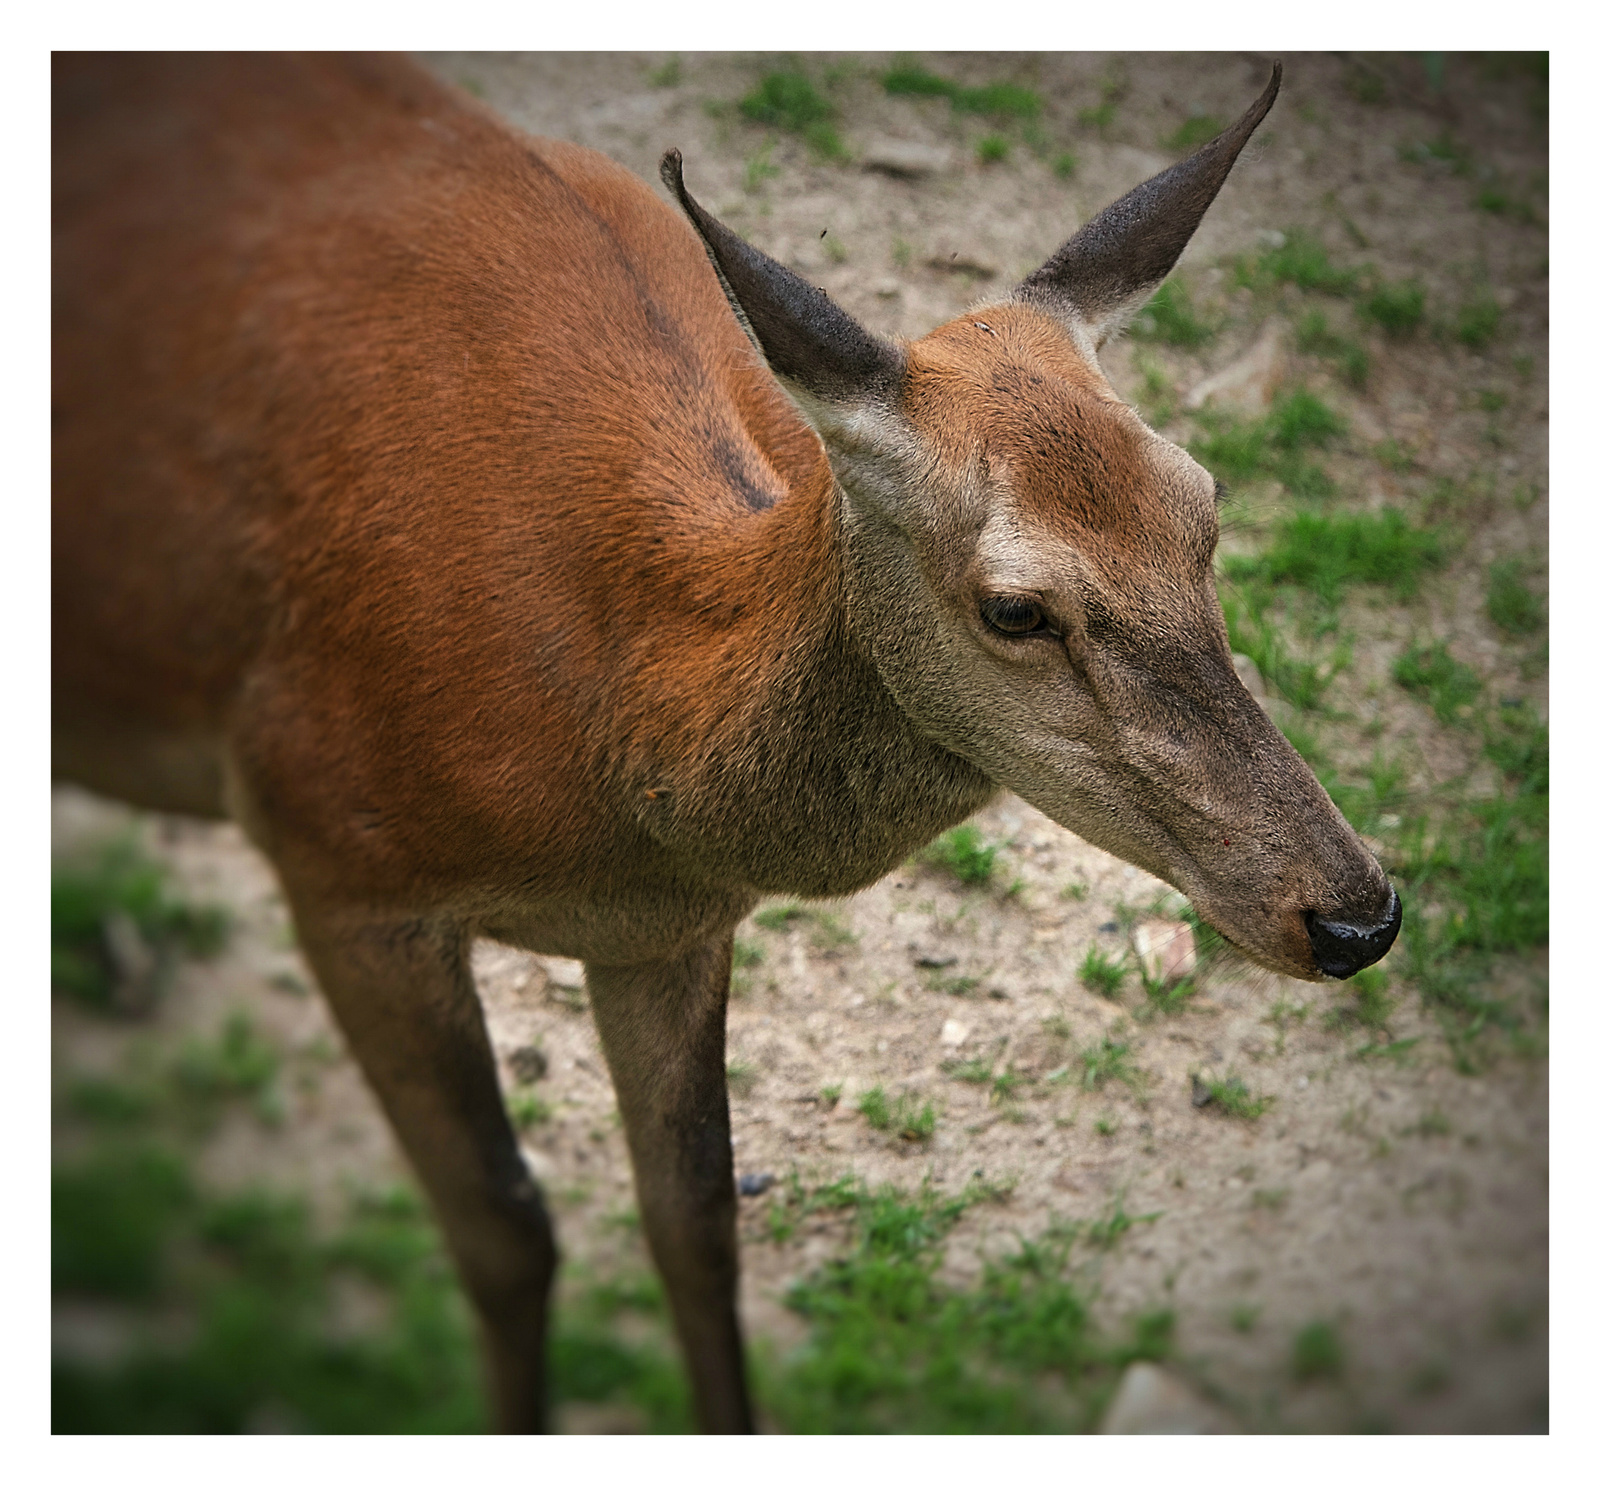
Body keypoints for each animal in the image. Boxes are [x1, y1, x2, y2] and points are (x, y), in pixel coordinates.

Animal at [50, 51, 1401, 1433]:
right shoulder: (328, 846)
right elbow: (503, 1230)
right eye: (1015, 608)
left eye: (1207, 509)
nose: (1353, 915)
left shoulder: (670, 927)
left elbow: (695, 1218)